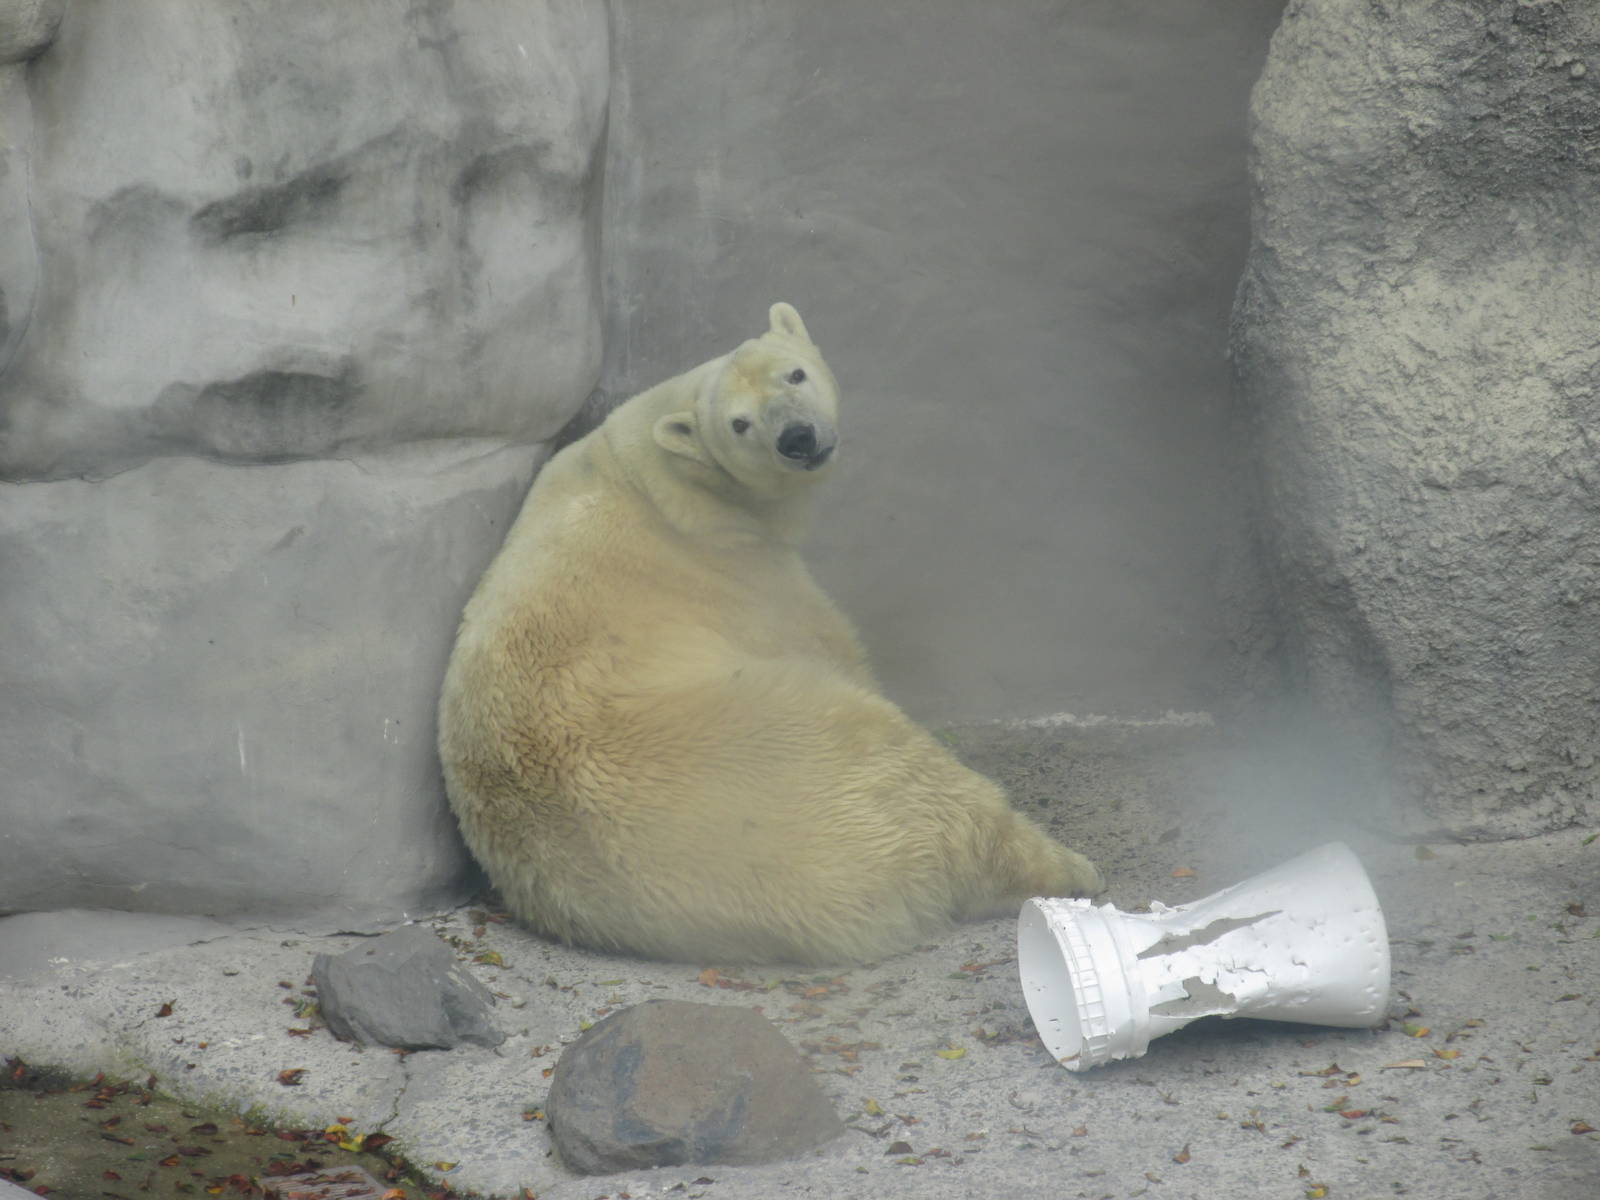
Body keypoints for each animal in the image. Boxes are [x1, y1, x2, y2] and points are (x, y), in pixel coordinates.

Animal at [437, 303, 1102, 965]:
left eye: (794, 374)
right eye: (739, 424)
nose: (798, 438)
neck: (652, 468)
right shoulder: (742, 570)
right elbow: (832, 646)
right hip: (798, 739)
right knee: (925, 783)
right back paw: (1066, 869)